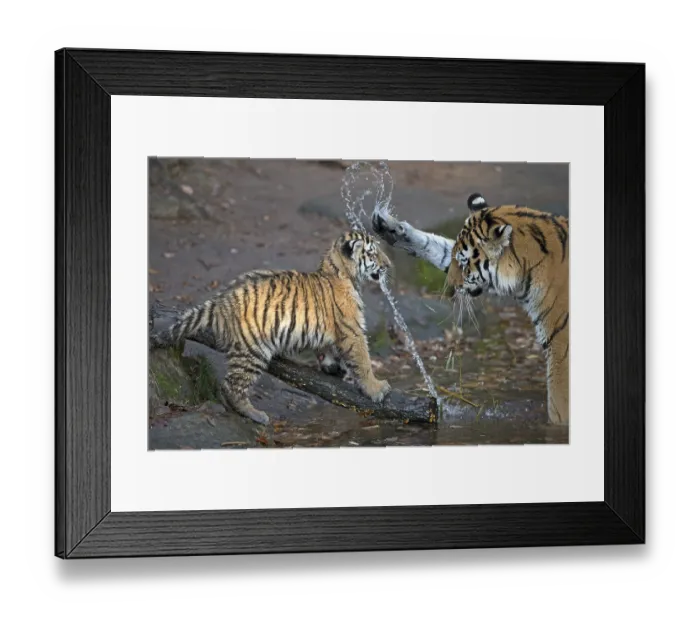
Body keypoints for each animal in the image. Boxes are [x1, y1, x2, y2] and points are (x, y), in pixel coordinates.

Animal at [150, 231, 392, 425]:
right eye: (373, 254)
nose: (389, 265)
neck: (338, 270)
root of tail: (220, 301)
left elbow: (329, 349)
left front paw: (332, 366)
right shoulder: (352, 330)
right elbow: (363, 360)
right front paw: (377, 388)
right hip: (253, 350)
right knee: (232, 385)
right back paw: (255, 415)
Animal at [372, 193, 569, 425]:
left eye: (465, 263)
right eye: (457, 260)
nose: (449, 287)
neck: (527, 269)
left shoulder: (561, 346)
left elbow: (558, 405)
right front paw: (391, 228)